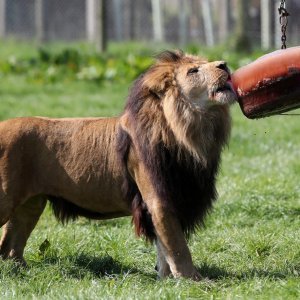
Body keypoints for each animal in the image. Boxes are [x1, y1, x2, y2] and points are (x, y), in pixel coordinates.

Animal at [0, 50, 237, 280]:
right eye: (193, 71)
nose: (224, 64)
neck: (191, 131)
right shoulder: (159, 199)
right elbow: (177, 246)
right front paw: (194, 280)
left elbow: (164, 248)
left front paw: (166, 279)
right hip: (7, 199)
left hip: (31, 204)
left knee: (10, 246)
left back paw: (23, 272)